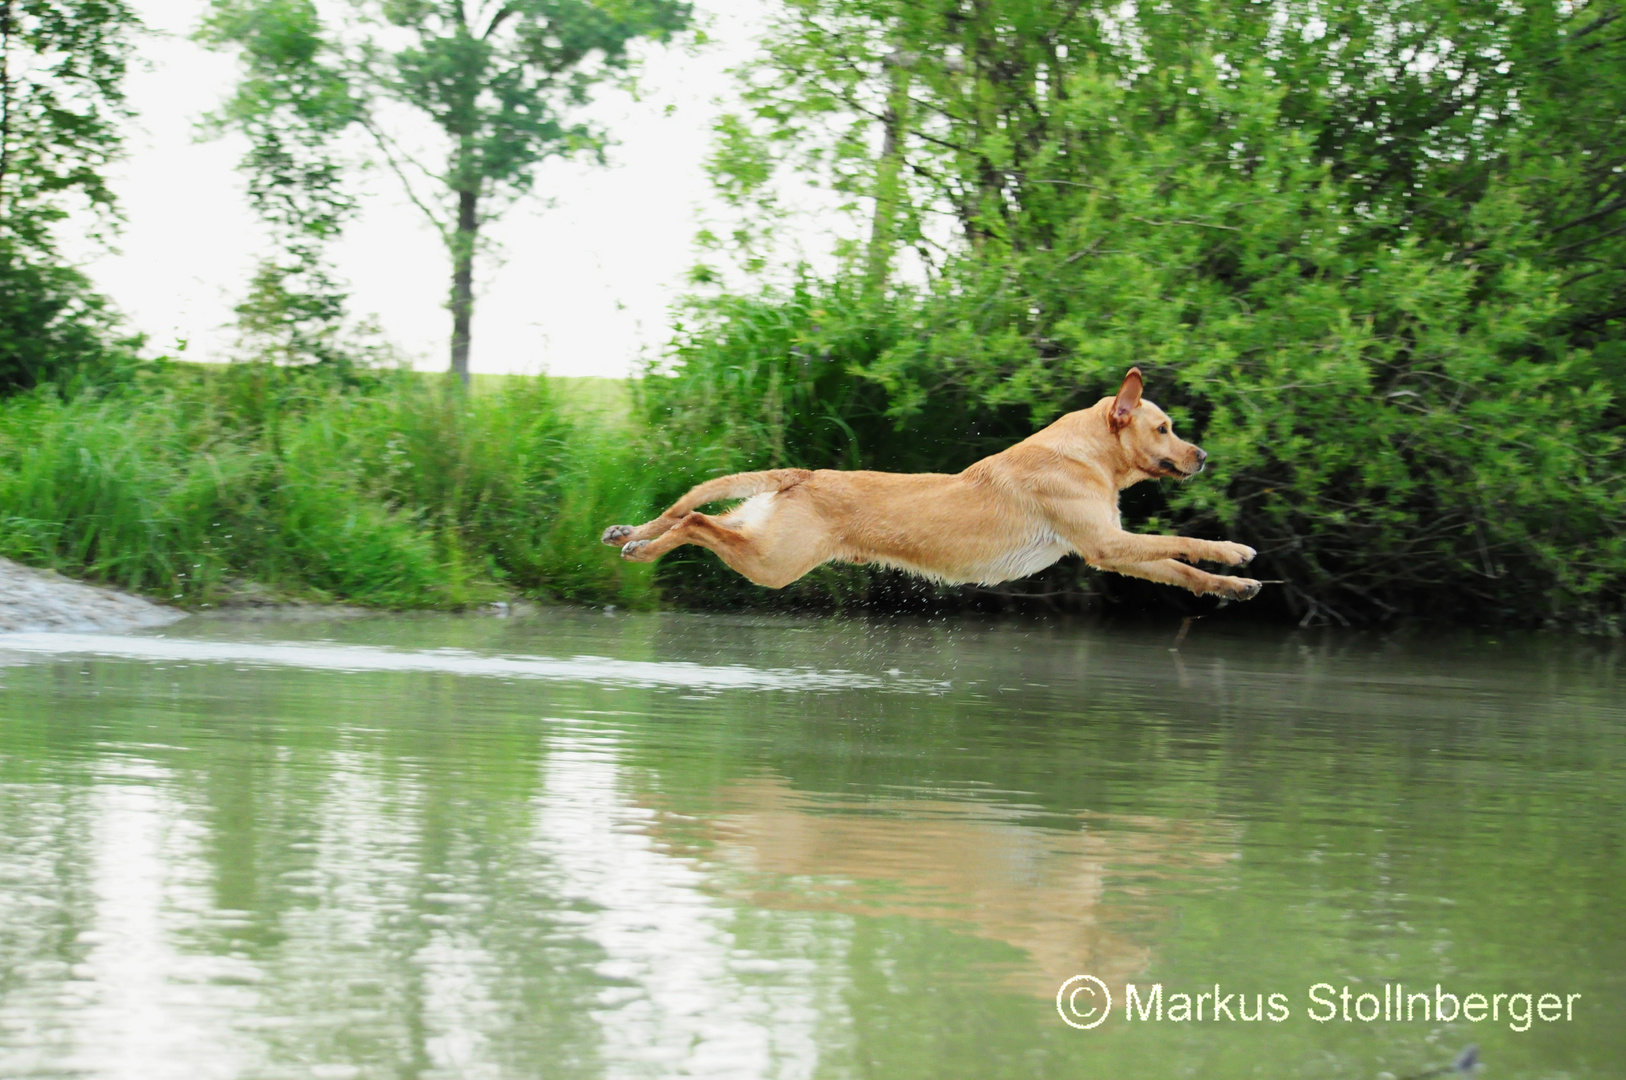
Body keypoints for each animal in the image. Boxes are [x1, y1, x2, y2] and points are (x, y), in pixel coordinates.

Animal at [604, 369, 1261, 598]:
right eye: (1165, 427)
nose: (1203, 455)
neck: (1085, 453)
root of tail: (805, 473)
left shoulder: (1110, 551)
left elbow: (1178, 567)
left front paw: (1234, 587)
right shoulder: (1105, 542)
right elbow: (1185, 542)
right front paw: (1236, 552)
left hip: (762, 536)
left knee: (694, 518)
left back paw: (633, 538)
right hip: (774, 562)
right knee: (695, 521)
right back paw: (639, 548)